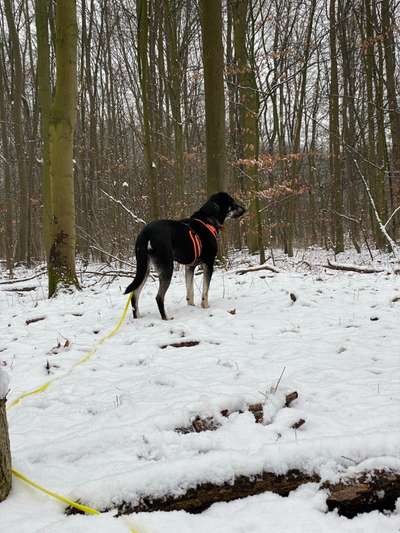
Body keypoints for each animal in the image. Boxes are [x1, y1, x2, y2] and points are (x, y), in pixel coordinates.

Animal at [124, 192, 244, 320]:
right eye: (232, 202)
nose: (244, 209)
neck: (207, 220)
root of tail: (146, 234)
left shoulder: (190, 267)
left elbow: (190, 292)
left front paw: (192, 307)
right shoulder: (209, 264)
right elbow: (205, 292)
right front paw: (205, 307)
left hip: (144, 269)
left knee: (134, 294)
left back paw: (138, 317)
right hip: (166, 267)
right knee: (159, 297)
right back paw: (166, 318)